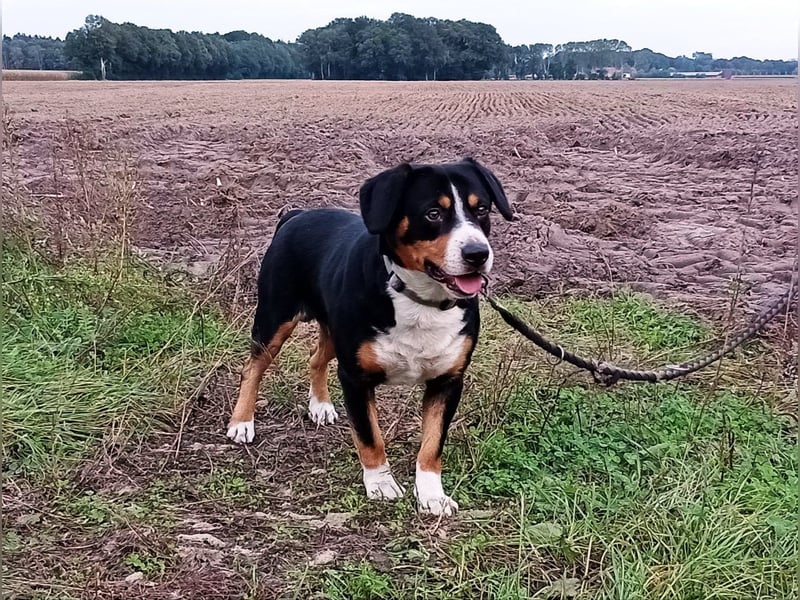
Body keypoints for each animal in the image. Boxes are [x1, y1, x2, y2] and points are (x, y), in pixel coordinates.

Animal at [225, 159, 512, 516]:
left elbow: (432, 445)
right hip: (275, 318)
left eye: (482, 209)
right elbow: (370, 437)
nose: (477, 253)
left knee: (315, 358)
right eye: (433, 213)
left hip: (332, 331)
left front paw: (431, 494)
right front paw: (381, 484)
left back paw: (320, 405)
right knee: (253, 368)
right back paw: (242, 422)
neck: (421, 301)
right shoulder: (356, 378)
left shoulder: (447, 381)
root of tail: (297, 214)